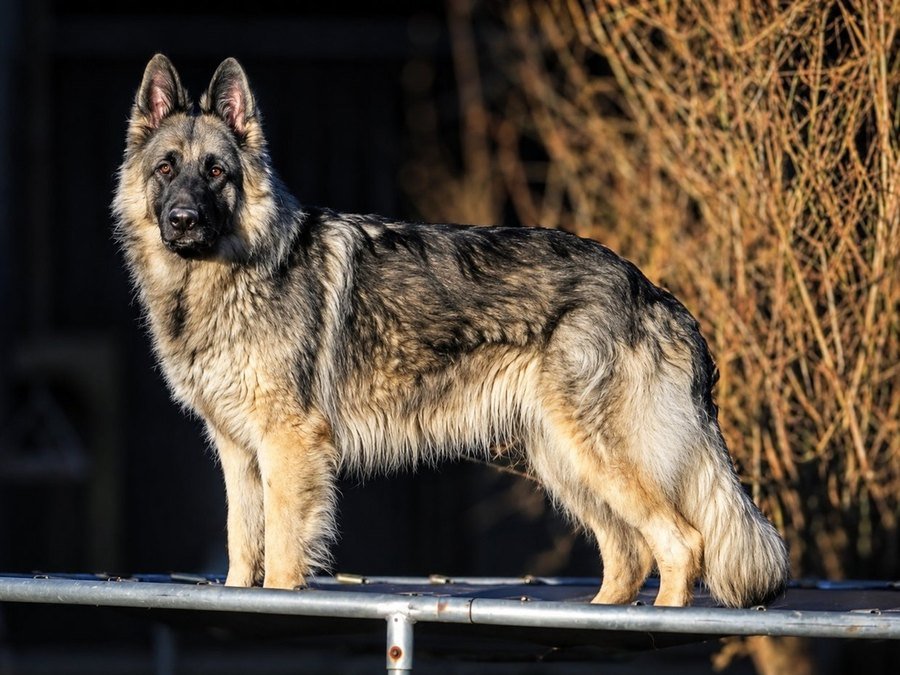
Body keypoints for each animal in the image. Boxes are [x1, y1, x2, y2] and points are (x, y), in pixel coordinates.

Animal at [113, 54, 789, 607]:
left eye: (217, 172)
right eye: (167, 168)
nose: (183, 220)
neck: (227, 275)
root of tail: (652, 291)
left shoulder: (287, 446)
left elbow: (279, 556)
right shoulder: (236, 451)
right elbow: (240, 548)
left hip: (595, 456)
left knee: (680, 543)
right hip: (564, 460)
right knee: (630, 554)